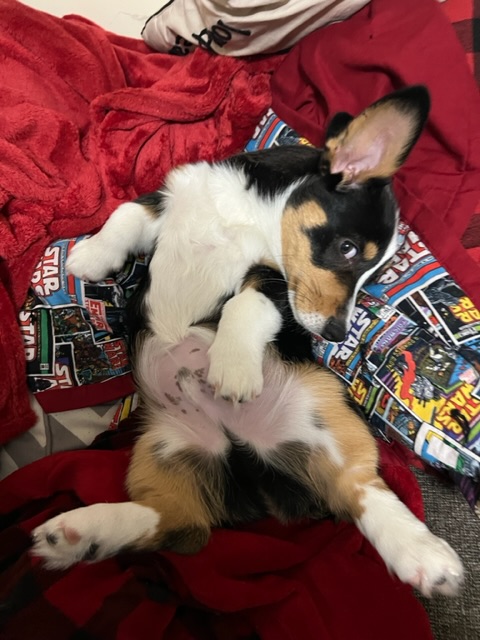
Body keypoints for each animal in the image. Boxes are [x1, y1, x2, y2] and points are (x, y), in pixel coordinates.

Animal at [31, 87, 464, 596]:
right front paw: (88, 258)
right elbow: (125, 214)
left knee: (358, 488)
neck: (248, 218)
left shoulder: (274, 282)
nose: (335, 334)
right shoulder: (166, 200)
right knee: (175, 523)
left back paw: (423, 555)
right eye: (348, 249)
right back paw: (79, 534)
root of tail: (254, 468)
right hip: (167, 447)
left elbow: (245, 304)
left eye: (372, 275)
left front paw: (233, 368)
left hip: (329, 416)